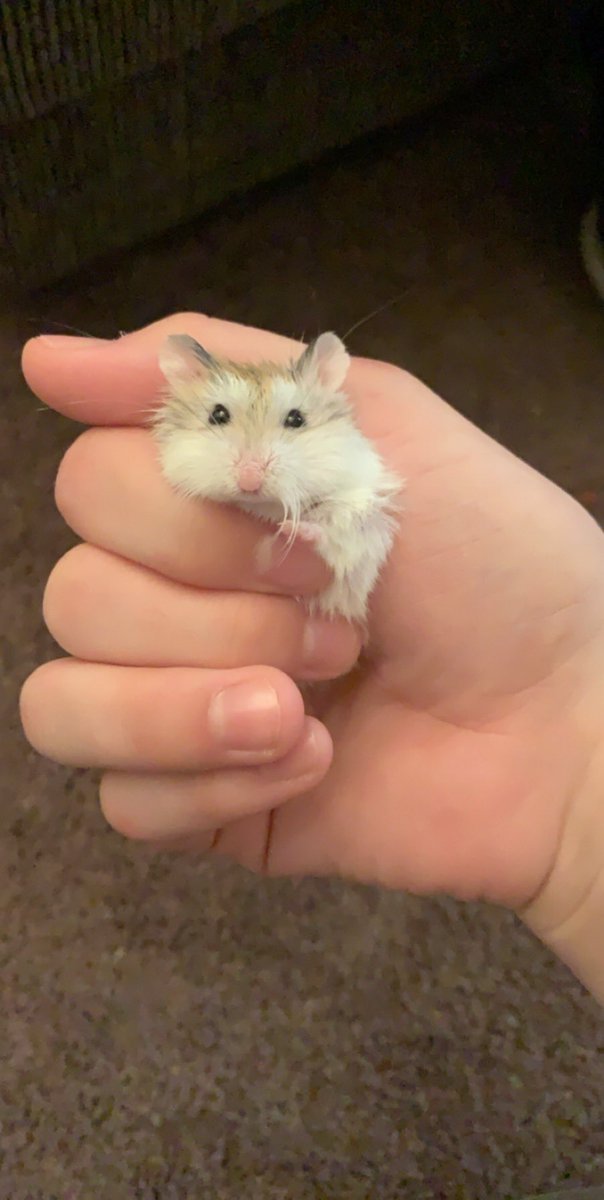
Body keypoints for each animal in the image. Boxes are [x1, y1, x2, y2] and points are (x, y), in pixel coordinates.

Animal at [152, 331, 402, 627]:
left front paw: (290, 528)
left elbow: (332, 530)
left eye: (296, 418)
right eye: (218, 415)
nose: (249, 480)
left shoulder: (361, 512)